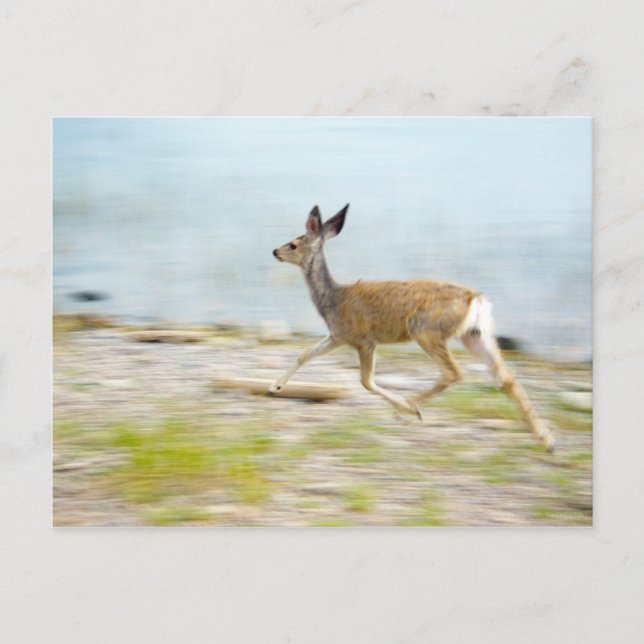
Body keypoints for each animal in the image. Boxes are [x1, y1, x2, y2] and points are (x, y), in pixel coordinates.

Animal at [269, 204, 555, 452]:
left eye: (294, 244)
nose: (275, 251)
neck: (333, 298)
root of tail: (477, 300)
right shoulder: (338, 336)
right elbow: (305, 353)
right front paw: (275, 387)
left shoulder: (363, 339)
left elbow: (366, 381)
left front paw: (407, 410)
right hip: (475, 335)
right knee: (506, 376)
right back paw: (546, 440)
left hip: (427, 331)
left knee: (454, 373)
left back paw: (409, 408)